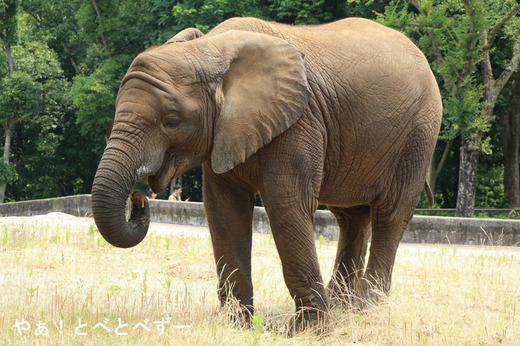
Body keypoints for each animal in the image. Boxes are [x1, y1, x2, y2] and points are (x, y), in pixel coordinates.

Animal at [91, 16, 440, 330]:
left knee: (389, 213)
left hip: (418, 135)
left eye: (172, 121)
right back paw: (344, 306)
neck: (209, 50)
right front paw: (236, 325)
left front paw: (308, 330)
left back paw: (368, 309)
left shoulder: (298, 121)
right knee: (350, 217)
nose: (139, 198)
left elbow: (286, 205)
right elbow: (224, 211)